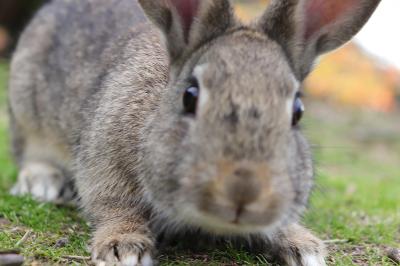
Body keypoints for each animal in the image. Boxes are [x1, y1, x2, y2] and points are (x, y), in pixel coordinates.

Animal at [7, 0, 380, 266]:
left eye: (298, 112)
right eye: (190, 96)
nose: (243, 192)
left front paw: (304, 247)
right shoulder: (104, 161)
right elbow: (113, 205)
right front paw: (122, 247)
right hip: (25, 105)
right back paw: (43, 182)